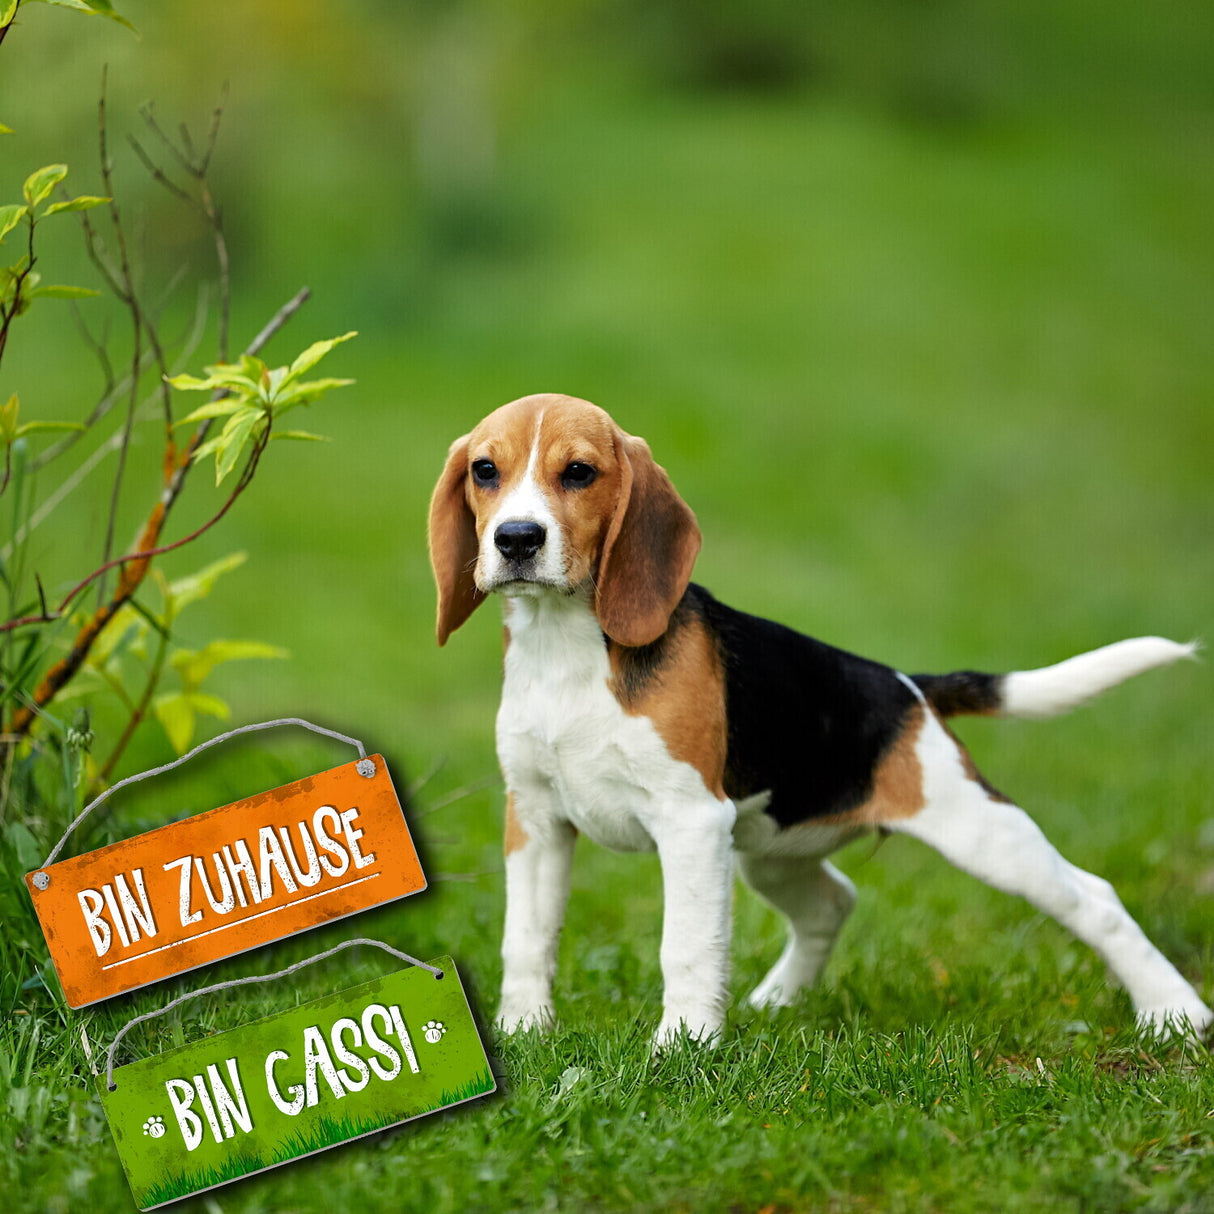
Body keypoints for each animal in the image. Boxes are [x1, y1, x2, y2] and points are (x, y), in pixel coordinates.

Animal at [429, 395, 1214, 1044]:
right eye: (486, 470)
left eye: (580, 473)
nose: (517, 539)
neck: (564, 646)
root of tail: (907, 686)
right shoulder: (536, 820)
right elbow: (527, 938)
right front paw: (524, 1031)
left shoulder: (691, 823)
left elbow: (685, 947)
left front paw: (682, 1049)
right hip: (768, 850)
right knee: (832, 903)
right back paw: (778, 1000)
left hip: (979, 832)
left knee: (1094, 899)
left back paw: (1174, 1014)